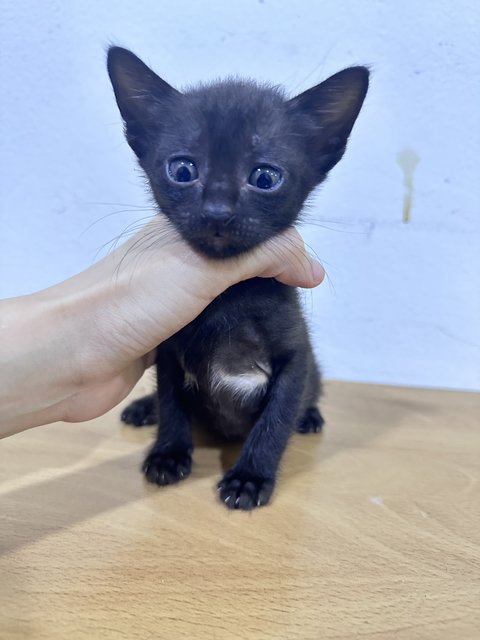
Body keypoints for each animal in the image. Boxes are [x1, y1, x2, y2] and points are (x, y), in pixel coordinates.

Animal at [107, 47, 370, 510]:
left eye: (265, 177)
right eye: (182, 169)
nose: (217, 211)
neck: (226, 300)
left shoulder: (295, 359)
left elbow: (275, 421)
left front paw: (250, 477)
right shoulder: (168, 354)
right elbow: (173, 407)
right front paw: (169, 453)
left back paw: (310, 416)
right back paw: (143, 408)